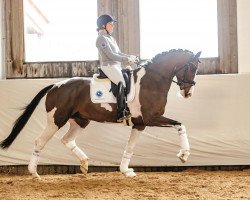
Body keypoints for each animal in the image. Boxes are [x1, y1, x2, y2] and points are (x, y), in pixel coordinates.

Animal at [0, 48, 200, 178]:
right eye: (192, 67)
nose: (188, 93)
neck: (151, 81)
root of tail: (56, 85)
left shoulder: (140, 124)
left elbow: (130, 147)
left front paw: (126, 170)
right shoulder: (151, 118)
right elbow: (180, 125)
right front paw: (184, 154)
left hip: (80, 120)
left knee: (67, 140)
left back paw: (84, 164)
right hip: (56, 120)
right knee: (40, 141)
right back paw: (34, 173)